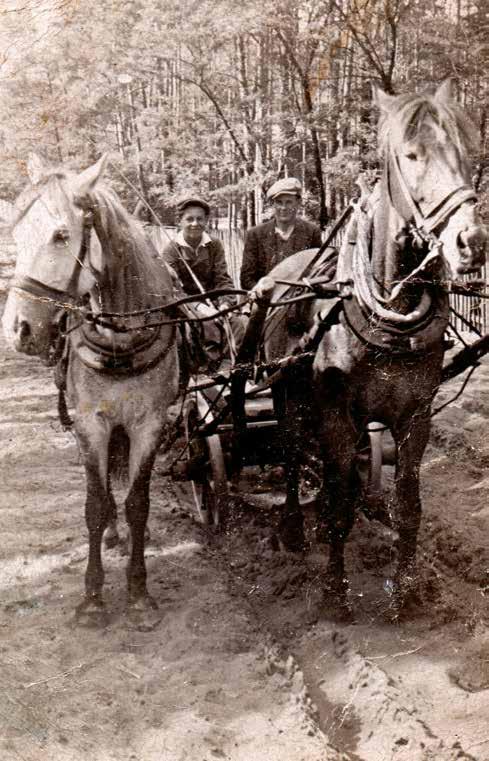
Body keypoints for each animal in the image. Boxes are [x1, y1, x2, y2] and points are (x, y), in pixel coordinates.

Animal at [2, 153, 178, 624]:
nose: (18, 330)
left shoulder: (149, 425)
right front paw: (93, 596)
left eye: (62, 235)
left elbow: (138, 502)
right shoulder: (89, 425)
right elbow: (95, 505)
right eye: (16, 234)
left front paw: (138, 592)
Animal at [260, 81, 484, 616]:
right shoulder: (336, 414)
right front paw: (334, 591)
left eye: (469, 155)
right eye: (411, 155)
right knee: (292, 453)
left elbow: (408, 505)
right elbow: (338, 498)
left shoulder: (415, 416)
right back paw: (294, 529)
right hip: (288, 395)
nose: (472, 241)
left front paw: (406, 591)